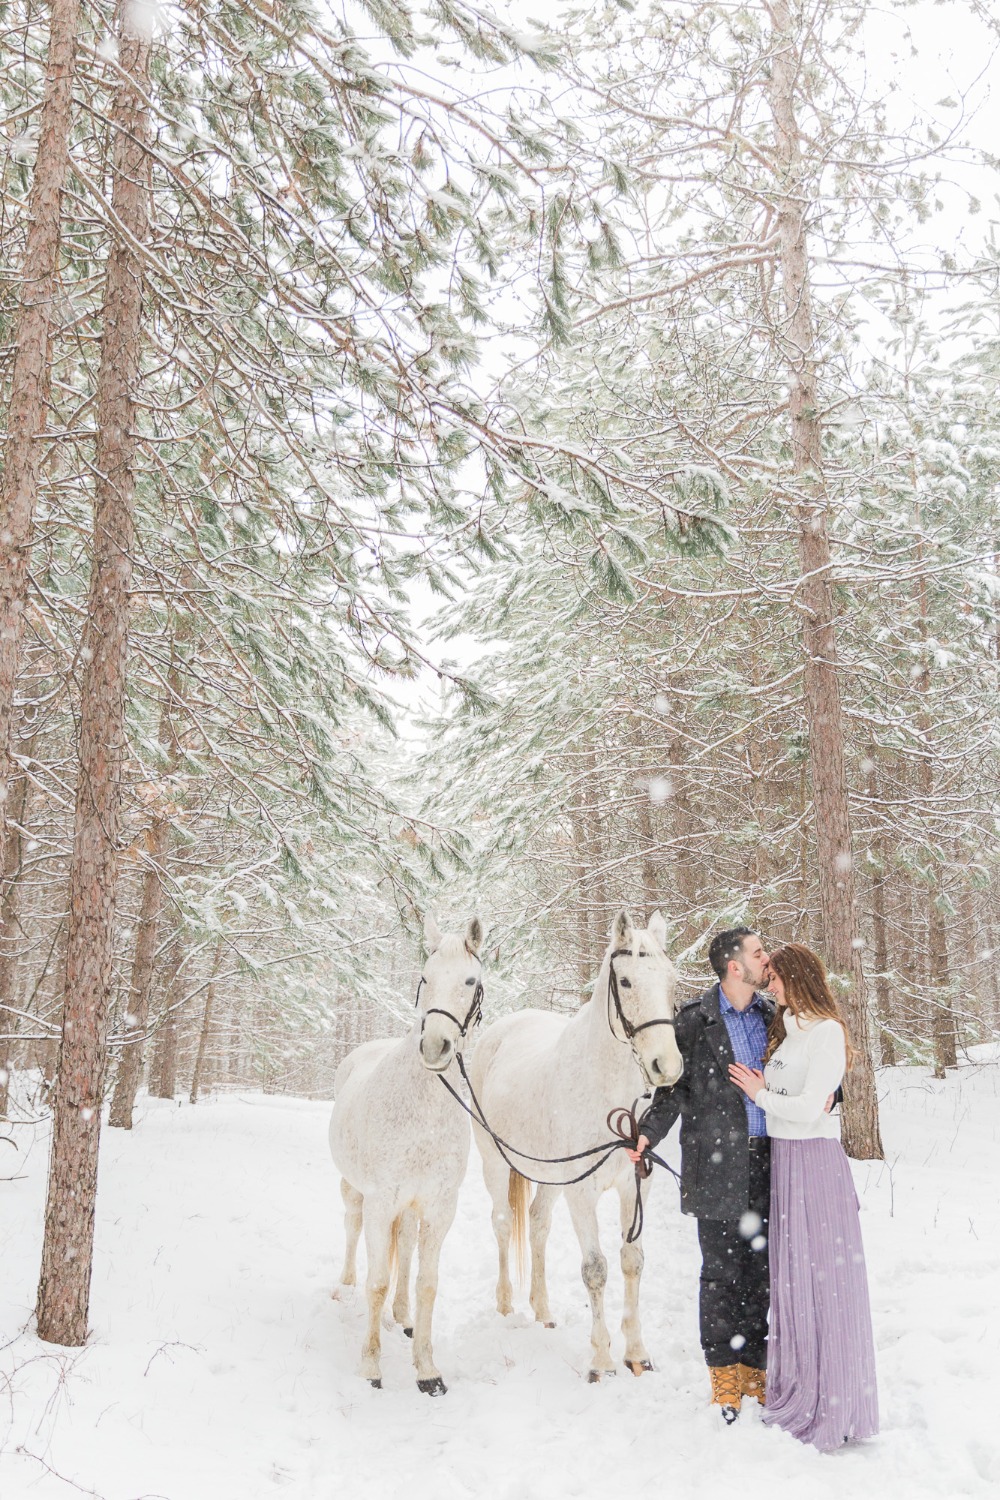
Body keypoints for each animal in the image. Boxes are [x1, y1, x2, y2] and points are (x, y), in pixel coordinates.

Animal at [328, 912, 485, 1392]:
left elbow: (427, 1282)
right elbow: (377, 1280)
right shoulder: (381, 1201)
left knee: (408, 1246)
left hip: (411, 1208)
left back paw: (402, 1317)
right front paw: (370, 1366)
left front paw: (427, 1369)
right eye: (425, 977)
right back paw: (344, 1287)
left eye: (470, 980)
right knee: (351, 1228)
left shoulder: (438, 1206)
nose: (434, 1047)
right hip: (354, 1189)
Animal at [470, 900, 680, 1380]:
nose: (667, 1066)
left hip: (549, 1178)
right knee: (503, 1223)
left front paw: (637, 1353)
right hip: (496, 1163)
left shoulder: (634, 1186)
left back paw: (544, 1310)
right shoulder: (582, 1193)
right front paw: (601, 1360)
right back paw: (506, 1306)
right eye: (626, 981)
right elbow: (595, 1269)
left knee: (538, 1225)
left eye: (670, 979)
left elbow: (631, 1261)